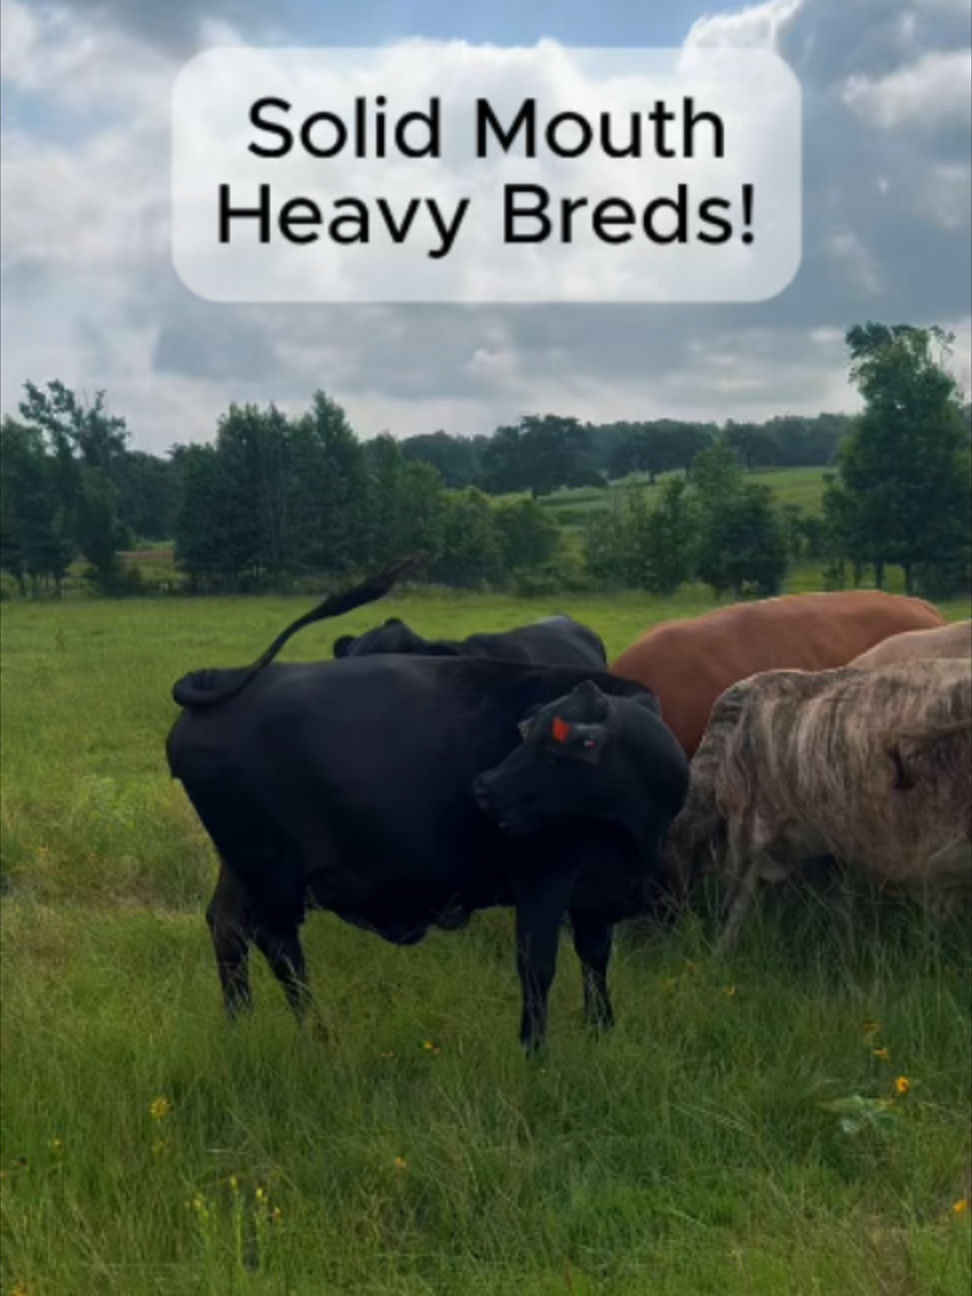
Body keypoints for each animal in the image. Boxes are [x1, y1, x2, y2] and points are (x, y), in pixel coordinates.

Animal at [166, 569, 690, 1052]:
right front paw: (535, 1051)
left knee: (227, 926)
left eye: (562, 745)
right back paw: (318, 1034)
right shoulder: (542, 876)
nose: (484, 788)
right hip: (272, 869)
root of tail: (220, 679)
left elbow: (595, 956)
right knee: (279, 944)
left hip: (241, 864)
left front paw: (603, 1031)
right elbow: (538, 965)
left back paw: (241, 1024)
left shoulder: (595, 892)